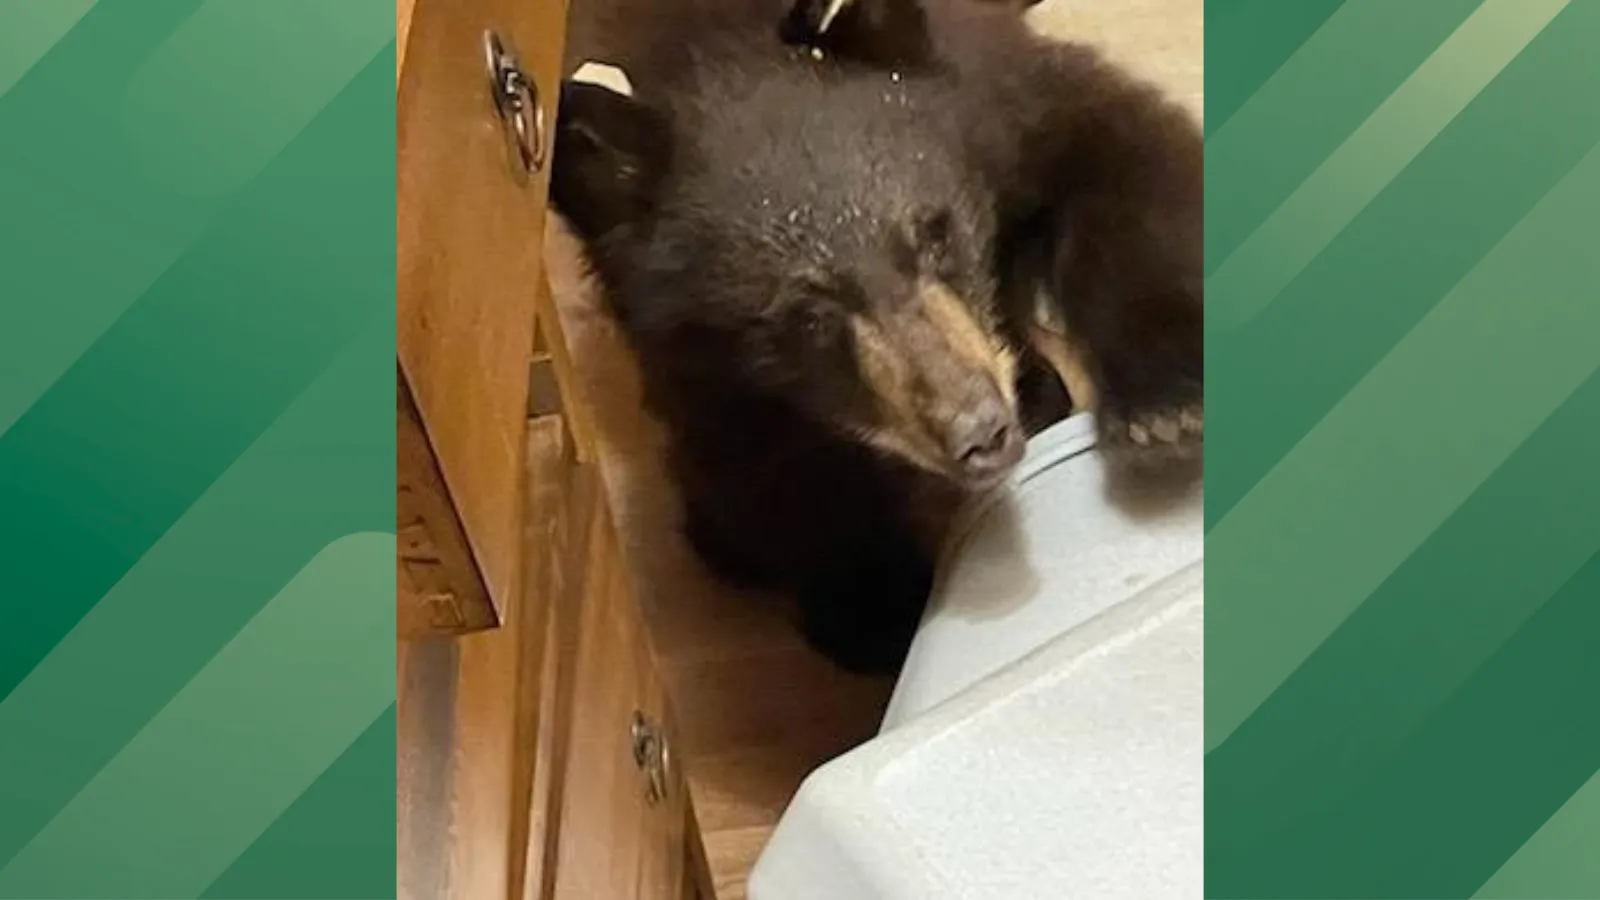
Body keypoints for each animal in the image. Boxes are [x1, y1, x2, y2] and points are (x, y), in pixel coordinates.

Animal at [549, 0, 1202, 673]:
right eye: (807, 315)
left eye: (935, 231)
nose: (979, 432)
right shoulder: (672, 338)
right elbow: (752, 460)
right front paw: (873, 601)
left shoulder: (997, 90)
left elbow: (1119, 150)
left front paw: (1162, 409)